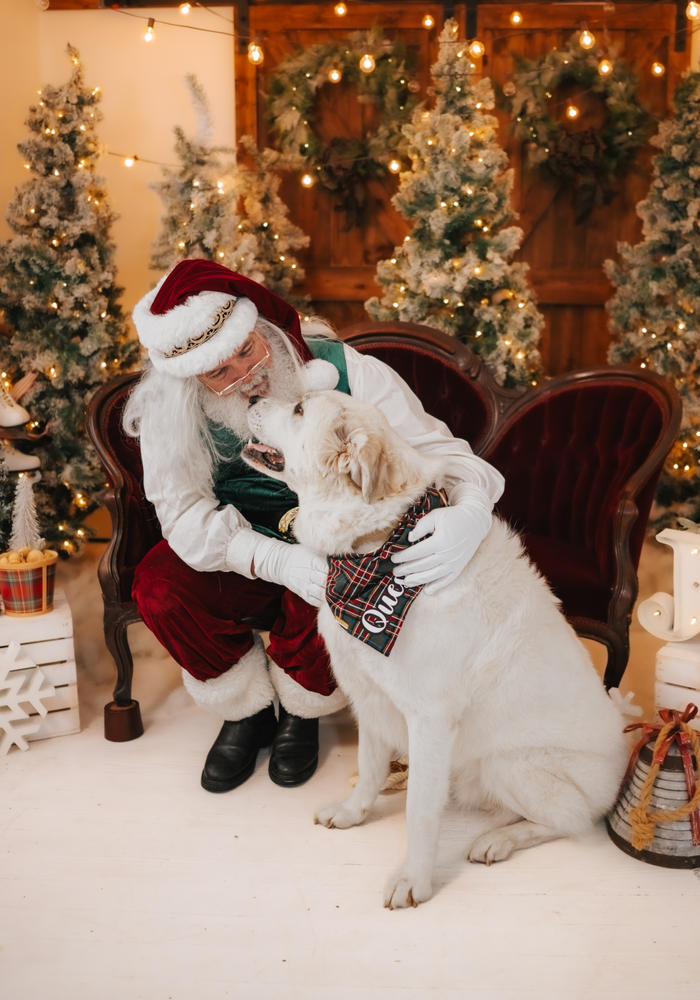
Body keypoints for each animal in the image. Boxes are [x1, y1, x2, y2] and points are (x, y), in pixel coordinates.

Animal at [245, 394, 628, 912]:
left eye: (301, 408)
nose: (249, 397)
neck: (378, 549)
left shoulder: (429, 719)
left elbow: (420, 814)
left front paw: (414, 880)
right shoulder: (370, 700)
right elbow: (369, 769)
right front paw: (353, 813)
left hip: (510, 764)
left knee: (567, 821)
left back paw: (498, 840)